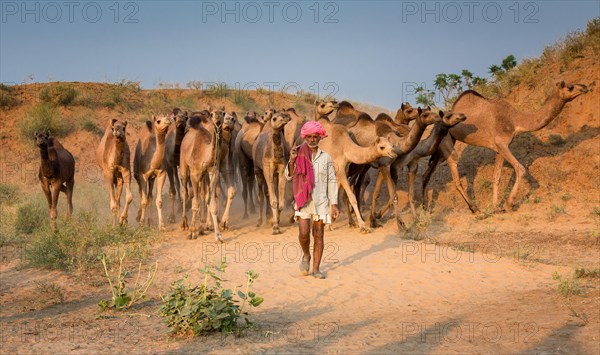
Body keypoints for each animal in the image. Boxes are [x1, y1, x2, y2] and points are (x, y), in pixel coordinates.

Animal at [180, 108, 225, 242]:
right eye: (212, 114)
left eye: (223, 113)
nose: (218, 116)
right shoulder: (194, 174)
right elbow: (195, 203)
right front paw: (191, 232)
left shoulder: (212, 172)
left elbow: (211, 201)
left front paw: (218, 235)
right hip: (183, 163)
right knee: (185, 191)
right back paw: (185, 224)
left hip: (203, 176)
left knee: (202, 194)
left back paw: (200, 227)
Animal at [424, 82, 588, 213]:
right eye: (570, 86)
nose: (585, 87)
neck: (515, 120)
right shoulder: (502, 144)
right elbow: (520, 168)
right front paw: (509, 205)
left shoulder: (499, 148)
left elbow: (496, 177)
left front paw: (496, 207)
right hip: (446, 141)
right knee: (454, 174)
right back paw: (474, 209)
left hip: (444, 144)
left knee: (429, 171)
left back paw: (425, 207)